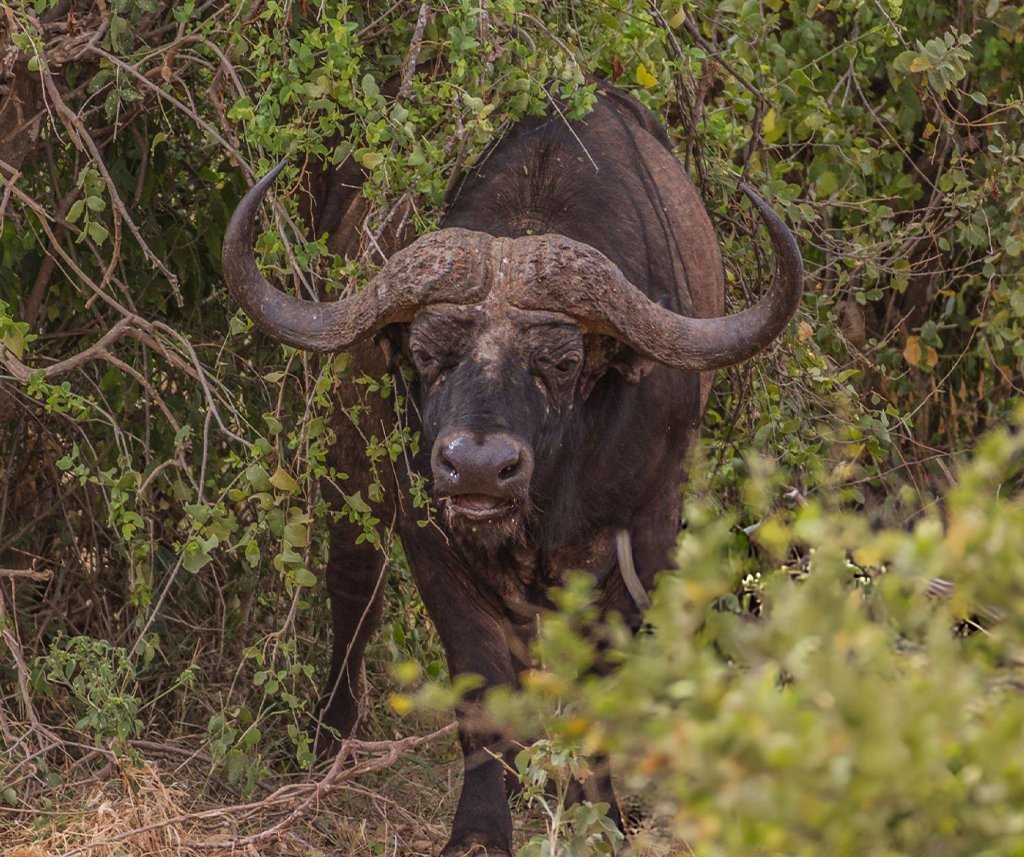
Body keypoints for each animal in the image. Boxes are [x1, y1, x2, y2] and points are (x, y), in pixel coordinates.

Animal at [222, 82, 802, 855]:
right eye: (427, 352)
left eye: (561, 362)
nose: (476, 467)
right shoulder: (431, 538)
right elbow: (480, 681)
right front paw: (478, 826)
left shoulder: (643, 538)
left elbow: (595, 684)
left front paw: (597, 817)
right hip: (349, 456)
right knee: (354, 584)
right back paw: (331, 737)